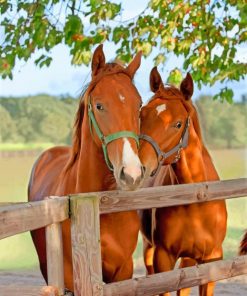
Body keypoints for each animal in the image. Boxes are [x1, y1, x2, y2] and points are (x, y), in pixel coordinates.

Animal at [139, 67, 228, 296]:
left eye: (177, 124)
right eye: (141, 115)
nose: (140, 166)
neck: (196, 199)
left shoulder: (211, 261)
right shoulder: (163, 258)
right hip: (149, 249)